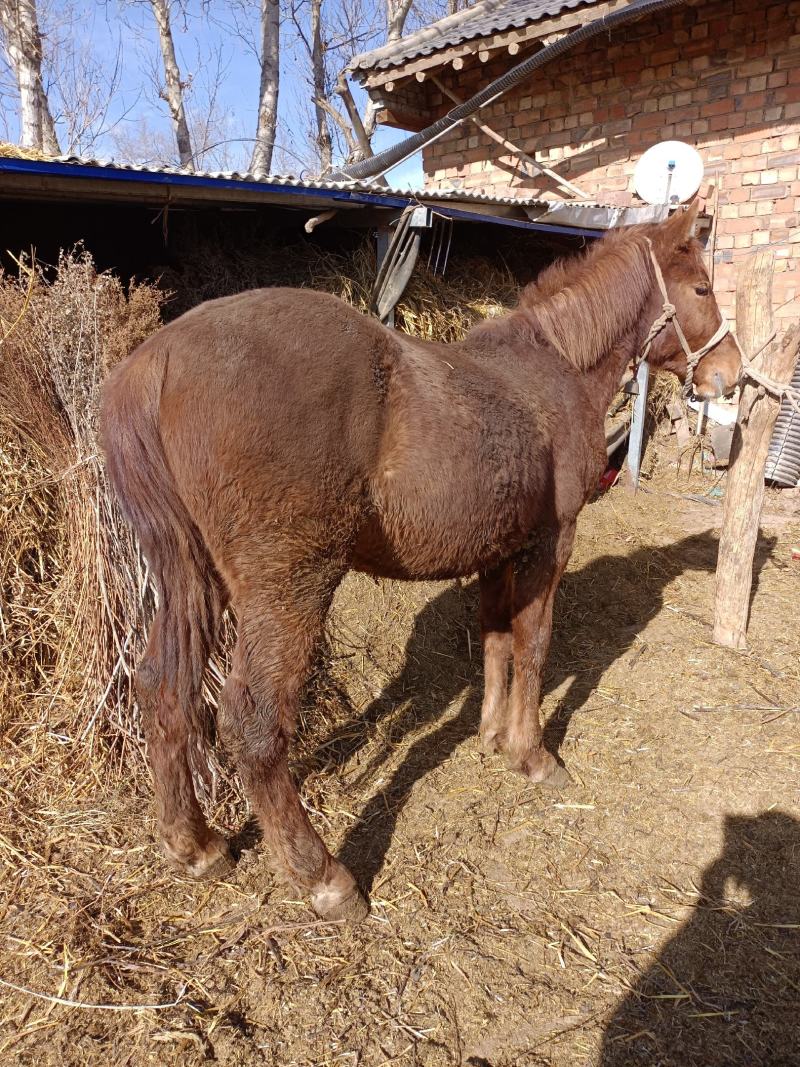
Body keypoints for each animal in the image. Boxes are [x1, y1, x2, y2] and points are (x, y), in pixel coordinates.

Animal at [100, 201, 741, 923]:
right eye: (702, 288)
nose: (732, 374)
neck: (556, 369)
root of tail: (156, 360)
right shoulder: (552, 539)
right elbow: (535, 641)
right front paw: (532, 754)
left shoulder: (497, 549)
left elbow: (495, 637)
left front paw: (490, 734)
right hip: (289, 588)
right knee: (252, 724)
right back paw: (324, 878)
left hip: (192, 581)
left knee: (163, 686)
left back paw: (195, 844)